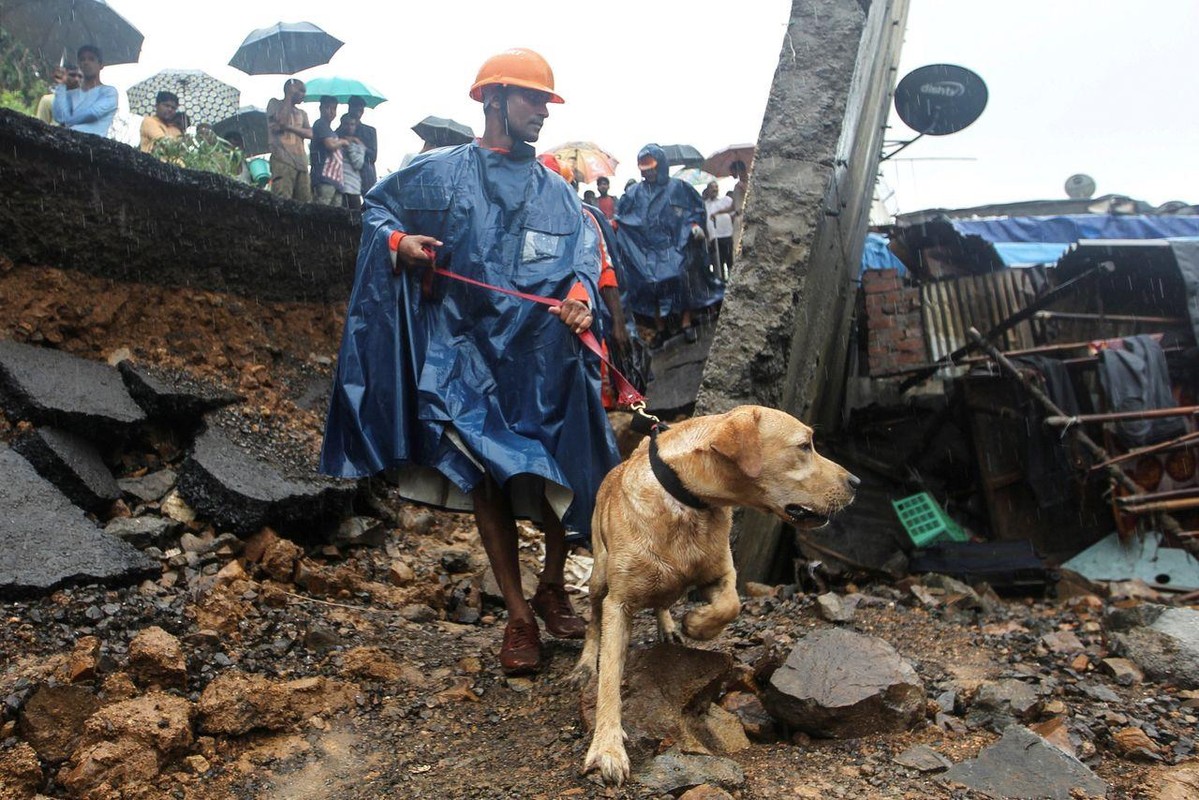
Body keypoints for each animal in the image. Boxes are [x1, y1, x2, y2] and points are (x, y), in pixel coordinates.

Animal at [575, 402, 858, 786]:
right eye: (804, 446)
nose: (856, 483)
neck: (686, 501)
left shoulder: (721, 572)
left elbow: (730, 604)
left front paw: (697, 624)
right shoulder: (618, 604)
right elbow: (609, 681)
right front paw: (607, 749)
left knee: (663, 602)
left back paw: (670, 628)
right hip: (599, 575)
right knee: (593, 618)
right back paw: (585, 663)